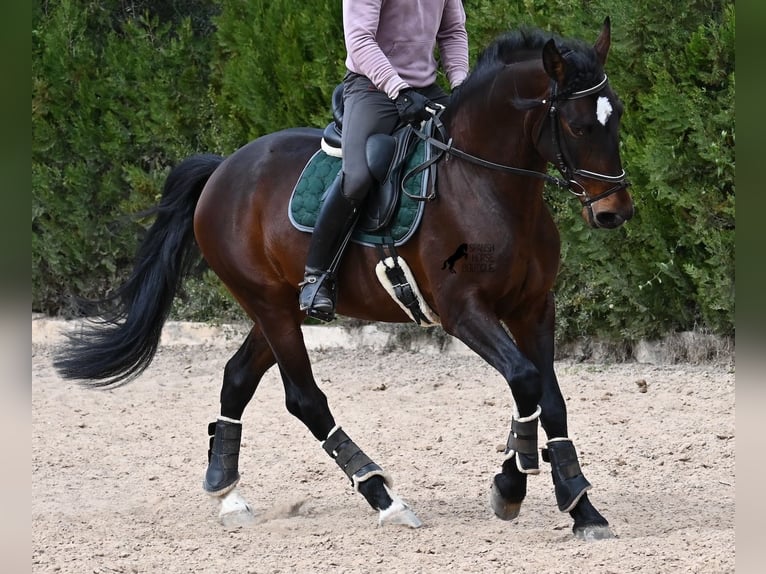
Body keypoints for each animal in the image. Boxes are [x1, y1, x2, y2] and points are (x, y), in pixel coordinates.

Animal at [54, 16, 636, 540]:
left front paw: (581, 506)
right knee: (304, 398)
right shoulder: (464, 311)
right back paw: (383, 497)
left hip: (279, 306)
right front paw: (510, 487)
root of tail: (224, 168)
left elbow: (550, 398)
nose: (615, 212)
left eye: (618, 118)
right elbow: (525, 380)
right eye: (579, 126)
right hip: (269, 304)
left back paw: (227, 492)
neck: (487, 185)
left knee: (238, 377)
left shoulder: (534, 307)